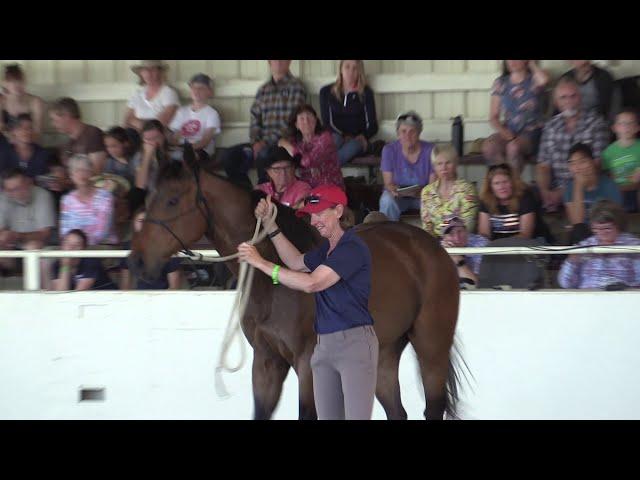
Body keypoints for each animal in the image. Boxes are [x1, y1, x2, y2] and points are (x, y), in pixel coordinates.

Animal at [127, 147, 462, 420]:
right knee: (397, 411)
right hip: (384, 354)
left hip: (431, 347)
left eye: (172, 200)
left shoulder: (307, 365)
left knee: (433, 407)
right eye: (148, 198)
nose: (137, 261)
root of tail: (431, 247)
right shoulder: (266, 362)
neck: (272, 289)